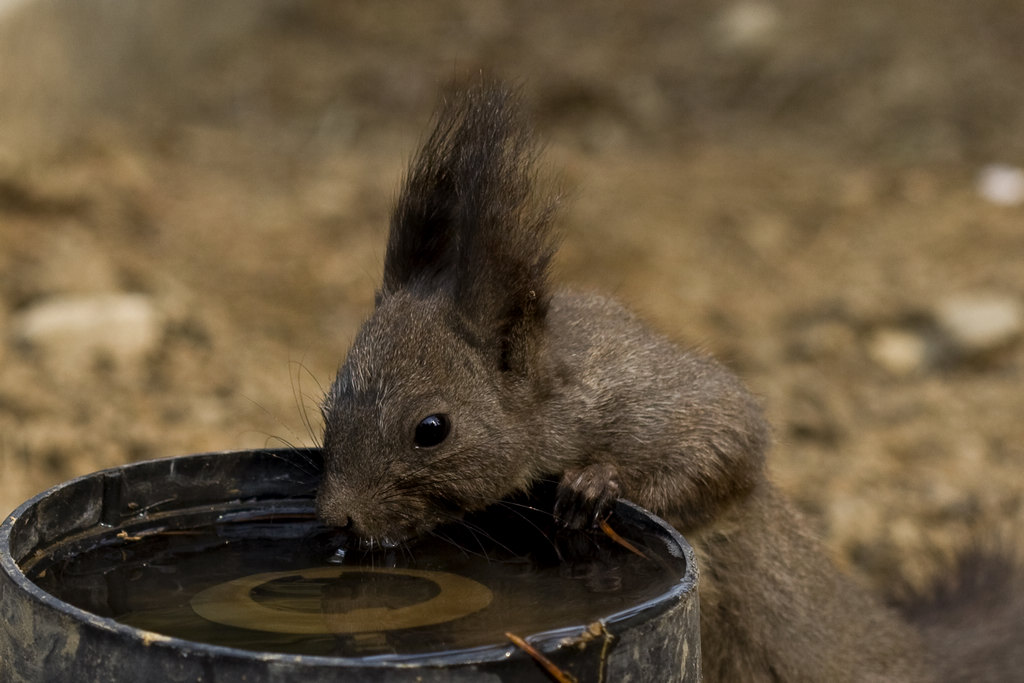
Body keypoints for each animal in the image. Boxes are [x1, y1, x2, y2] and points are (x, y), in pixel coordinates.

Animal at [315, 78, 1019, 679]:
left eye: (432, 428)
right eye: (327, 407)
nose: (337, 518)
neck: (555, 398)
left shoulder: (646, 396)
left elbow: (726, 449)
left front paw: (595, 484)